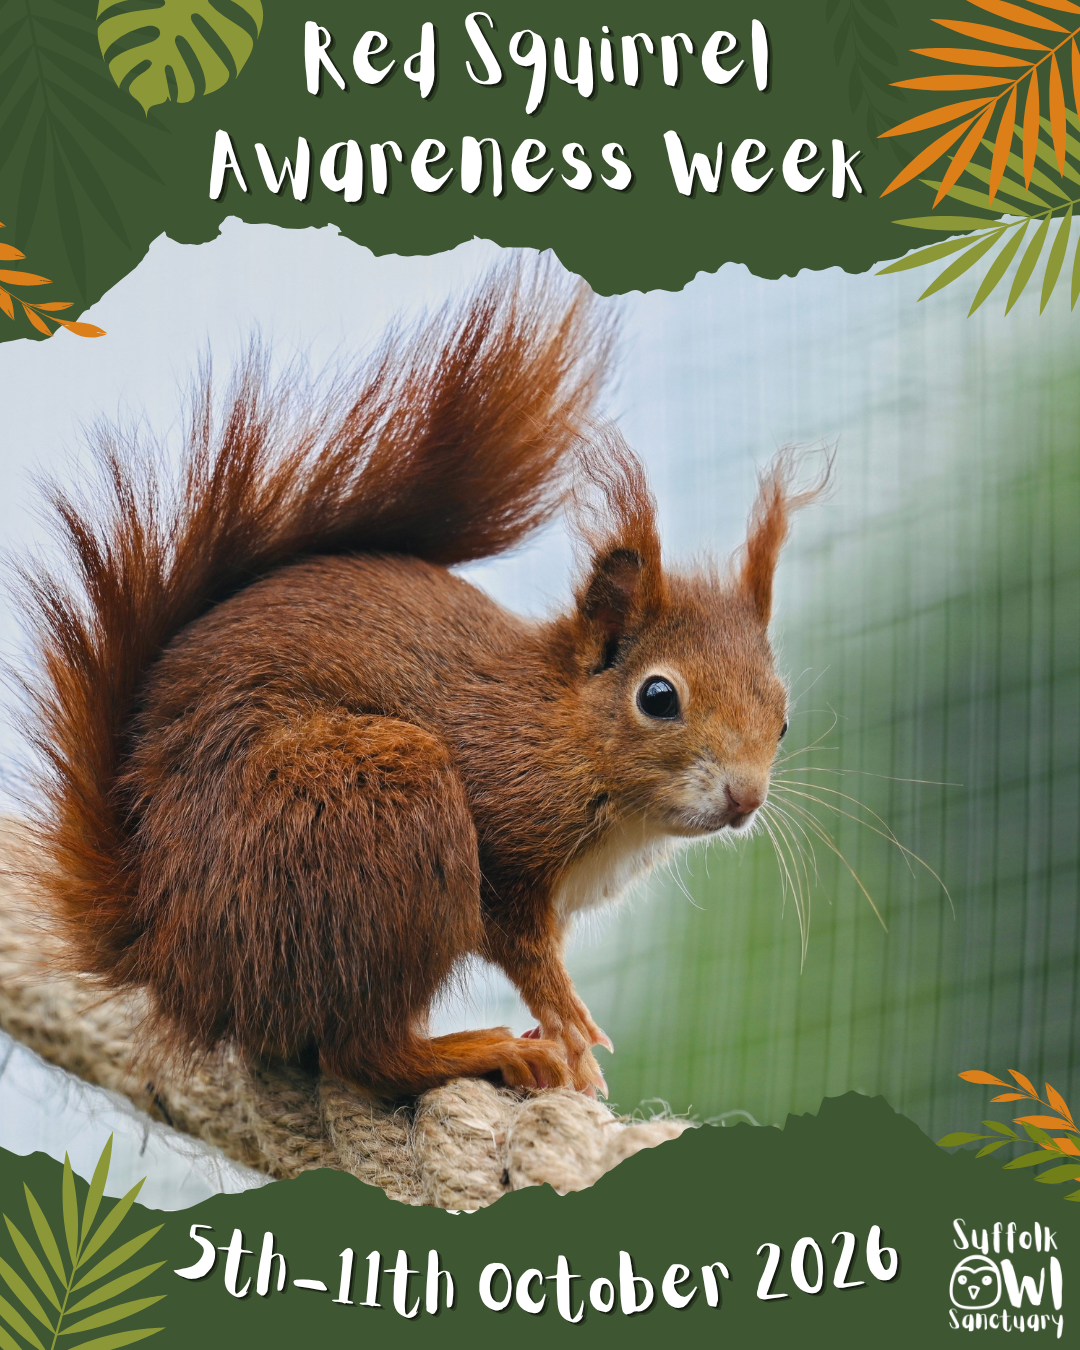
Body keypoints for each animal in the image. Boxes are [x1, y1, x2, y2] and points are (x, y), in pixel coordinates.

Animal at [20, 260, 820, 1099]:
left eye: (783, 718)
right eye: (658, 697)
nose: (745, 799)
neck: (561, 730)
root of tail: (169, 954)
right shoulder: (505, 839)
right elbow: (523, 947)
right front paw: (568, 1024)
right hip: (377, 816)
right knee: (360, 1049)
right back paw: (478, 1052)